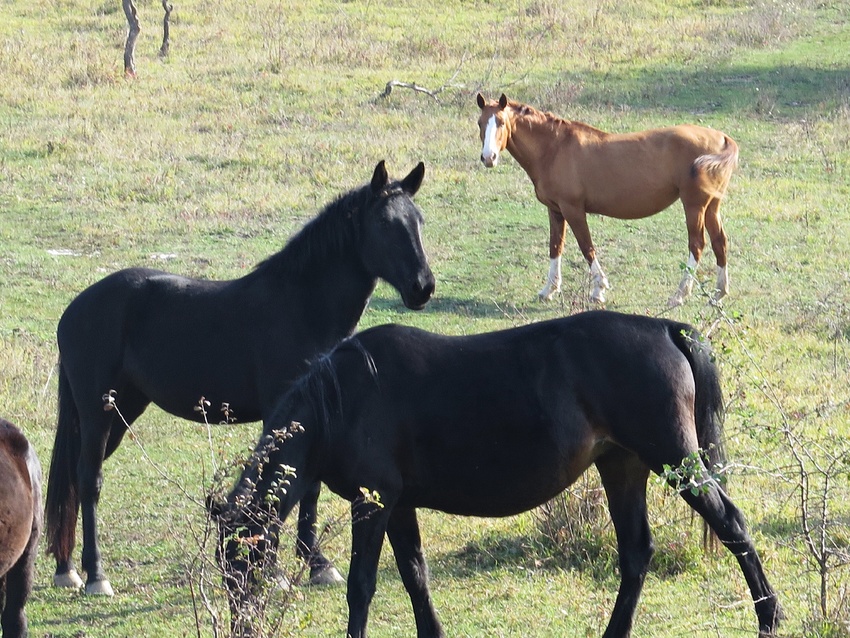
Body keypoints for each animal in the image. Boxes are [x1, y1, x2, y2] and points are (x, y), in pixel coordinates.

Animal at [44, 161, 438, 600]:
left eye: (418, 220)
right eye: (385, 224)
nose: (423, 287)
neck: (302, 308)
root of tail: (74, 309)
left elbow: (309, 487)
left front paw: (316, 564)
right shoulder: (283, 414)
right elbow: (284, 483)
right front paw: (278, 568)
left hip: (121, 410)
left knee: (74, 479)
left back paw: (66, 568)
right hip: (98, 412)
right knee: (88, 479)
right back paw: (95, 574)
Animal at [214, 312, 780, 638]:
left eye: (242, 561)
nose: (242, 625)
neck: (344, 399)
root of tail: (663, 327)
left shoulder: (374, 503)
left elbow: (362, 586)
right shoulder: (400, 505)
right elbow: (415, 576)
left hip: (674, 461)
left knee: (732, 525)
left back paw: (770, 616)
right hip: (623, 466)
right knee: (637, 553)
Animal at [476, 92, 736, 308]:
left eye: (501, 123)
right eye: (480, 123)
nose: (489, 158)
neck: (555, 148)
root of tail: (722, 138)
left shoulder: (573, 210)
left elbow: (586, 247)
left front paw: (598, 290)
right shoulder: (556, 211)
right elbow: (555, 247)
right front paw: (549, 289)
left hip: (694, 206)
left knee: (697, 244)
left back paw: (679, 295)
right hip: (711, 207)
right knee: (719, 242)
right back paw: (719, 293)